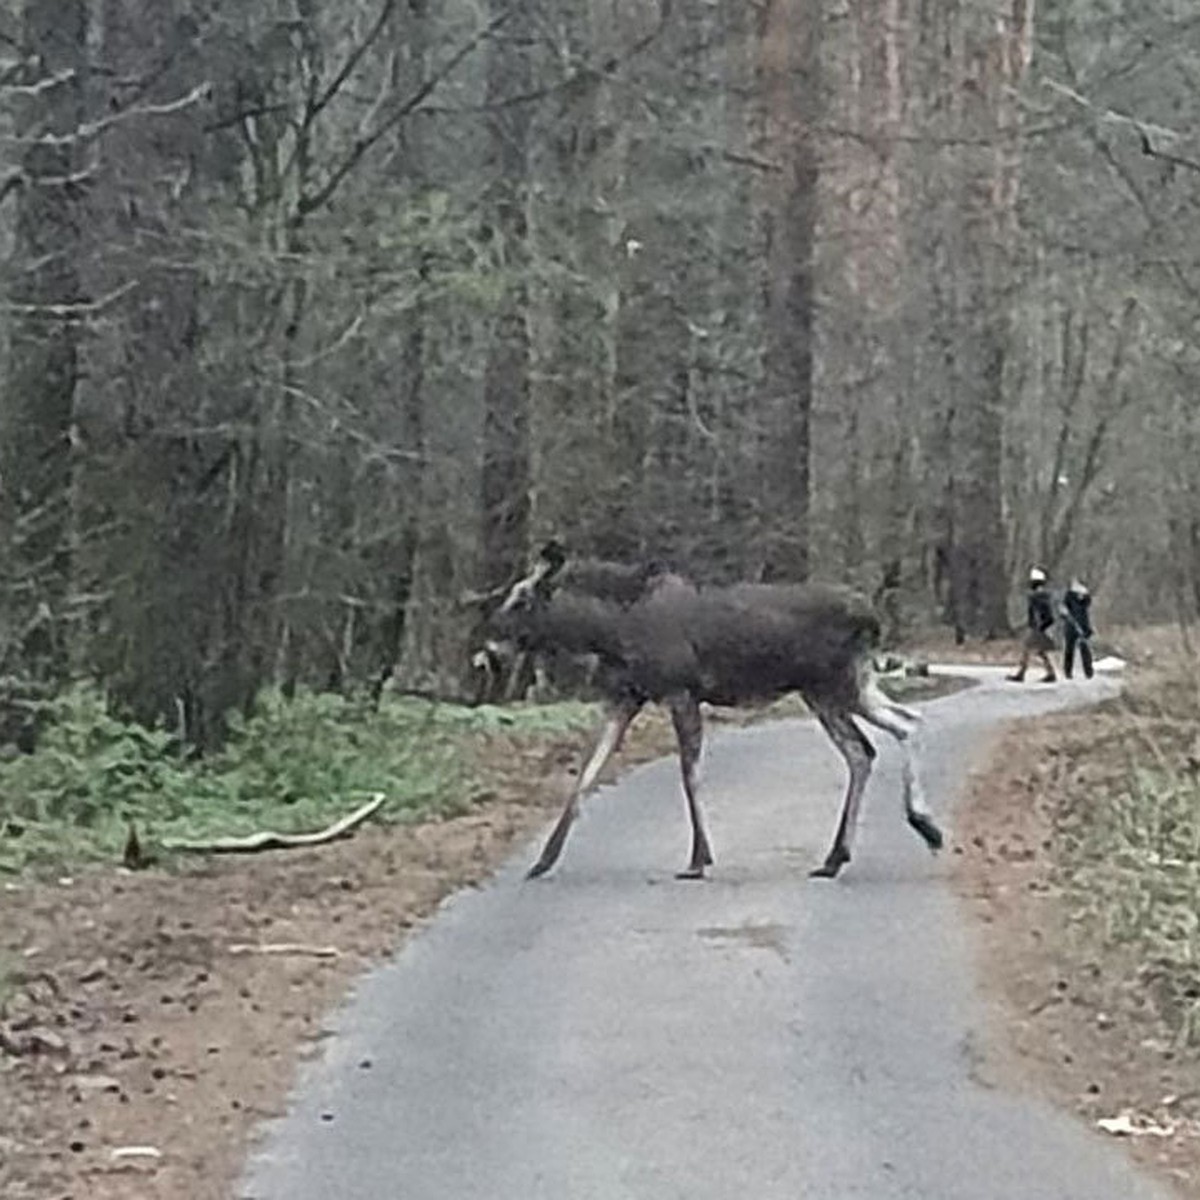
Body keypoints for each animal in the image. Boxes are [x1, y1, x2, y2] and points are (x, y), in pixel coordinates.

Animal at [480, 544, 945, 883]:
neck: (606, 631)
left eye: (522, 598)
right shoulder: (624, 698)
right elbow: (586, 774)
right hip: (837, 689)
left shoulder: (681, 692)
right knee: (880, 739)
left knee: (888, 733)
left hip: (837, 686)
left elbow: (690, 775)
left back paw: (920, 827)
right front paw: (544, 860)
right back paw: (848, 853)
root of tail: (873, 617)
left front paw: (698, 859)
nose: (489, 648)